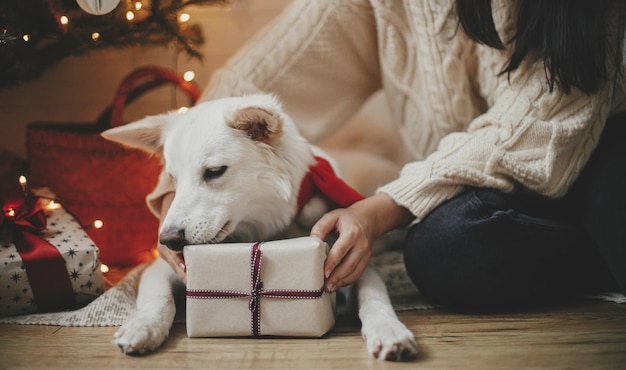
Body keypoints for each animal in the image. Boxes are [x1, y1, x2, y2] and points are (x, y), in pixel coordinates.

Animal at [101, 94, 414, 360]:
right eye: (173, 179)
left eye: (214, 172)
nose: (167, 240)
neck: (264, 229)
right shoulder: (164, 266)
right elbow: (158, 298)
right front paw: (143, 326)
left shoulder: (351, 259)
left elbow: (374, 296)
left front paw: (389, 329)